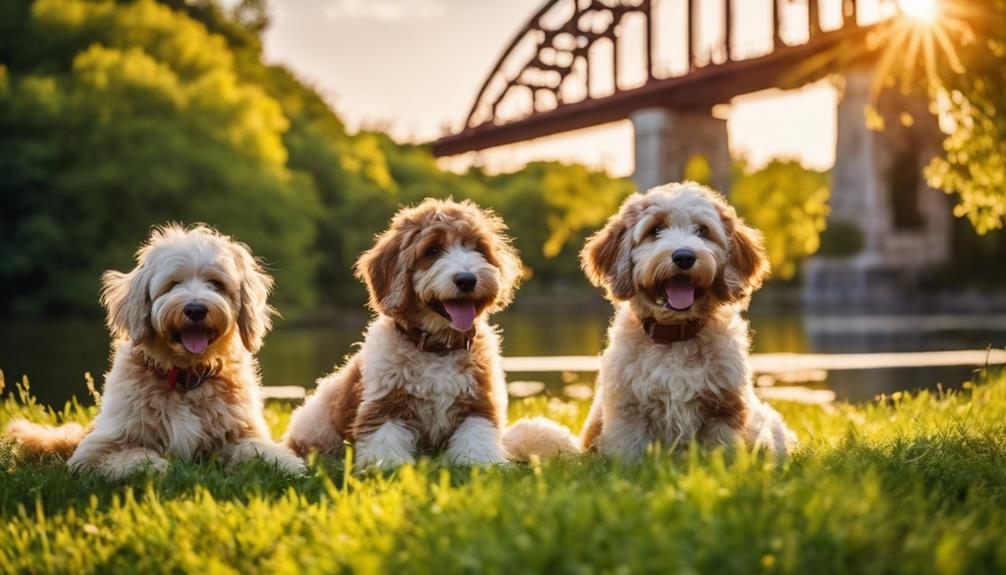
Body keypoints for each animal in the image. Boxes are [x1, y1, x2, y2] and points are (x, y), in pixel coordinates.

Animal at [4, 224, 301, 480]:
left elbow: (258, 452)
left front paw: (289, 465)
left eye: (216, 283)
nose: (195, 309)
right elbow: (134, 458)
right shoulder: (95, 450)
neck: (186, 377)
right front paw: (158, 467)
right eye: (173, 284)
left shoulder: (242, 433)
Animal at [579, 183, 796, 458]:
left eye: (702, 230)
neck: (675, 335)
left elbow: (722, 451)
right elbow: (629, 452)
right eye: (656, 229)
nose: (684, 256)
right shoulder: (627, 411)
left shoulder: (724, 408)